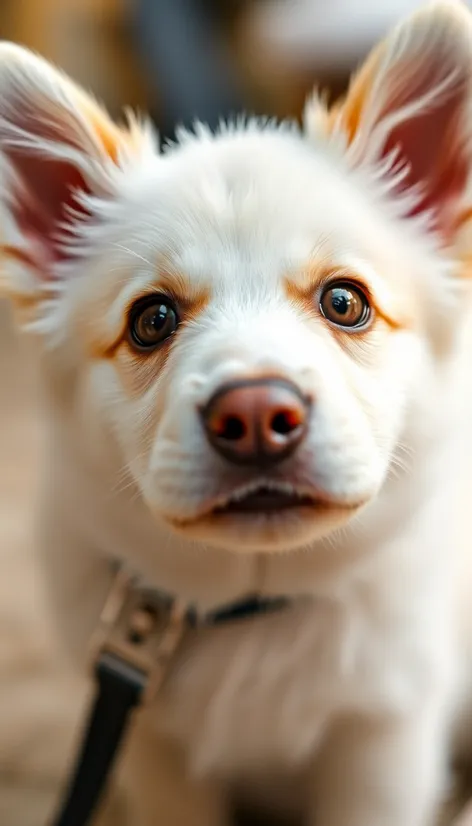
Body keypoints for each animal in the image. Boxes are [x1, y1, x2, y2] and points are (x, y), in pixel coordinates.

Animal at [0, 1, 472, 824]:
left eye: (344, 301)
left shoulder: (384, 741)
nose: (255, 414)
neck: (257, 609)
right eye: (152, 319)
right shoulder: (153, 751)